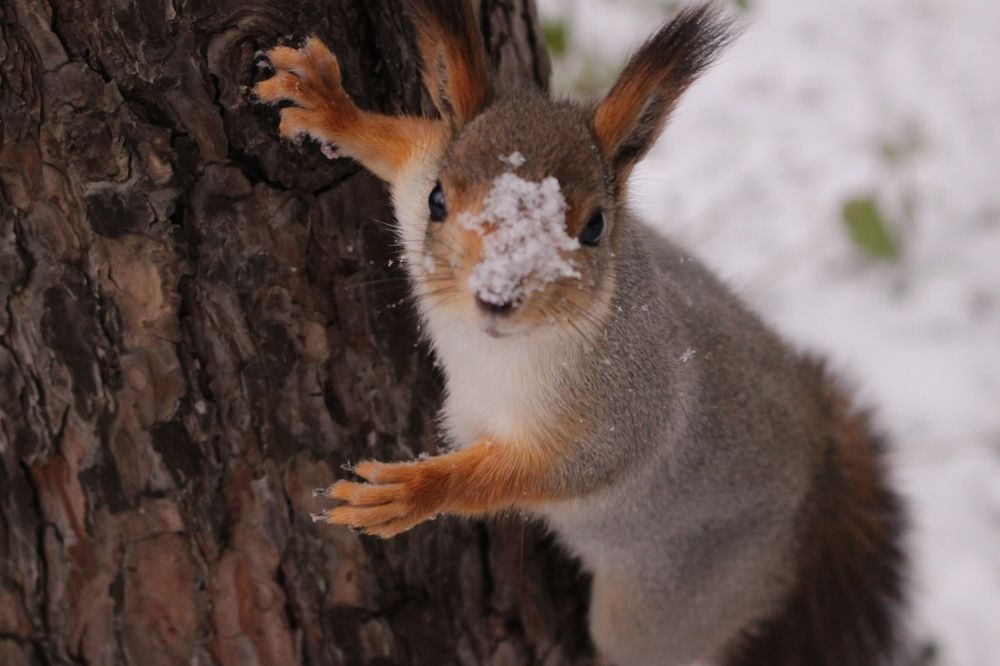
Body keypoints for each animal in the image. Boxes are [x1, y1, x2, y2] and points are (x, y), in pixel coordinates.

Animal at [254, 2, 908, 664]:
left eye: (595, 227)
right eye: (440, 200)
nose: (497, 294)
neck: (498, 348)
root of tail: (818, 470)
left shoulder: (626, 413)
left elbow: (542, 472)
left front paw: (415, 490)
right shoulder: (419, 173)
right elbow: (404, 144)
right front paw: (327, 104)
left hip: (664, 612)